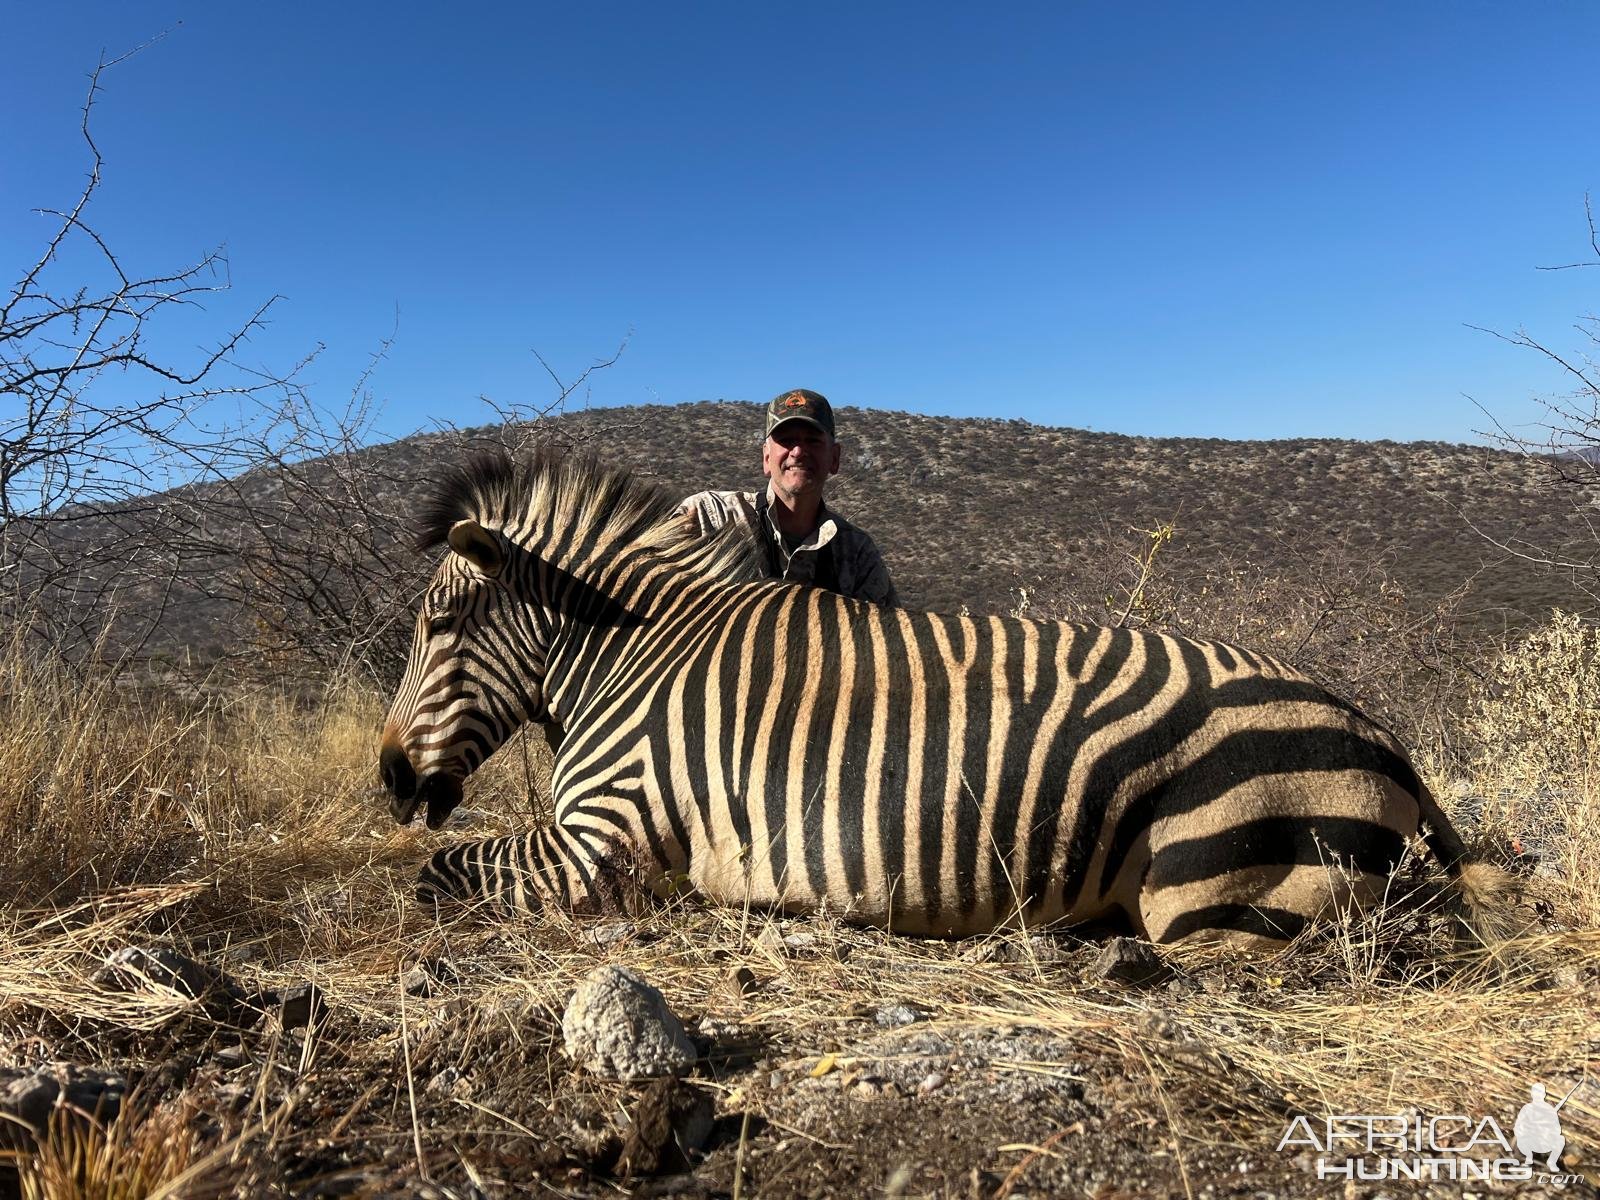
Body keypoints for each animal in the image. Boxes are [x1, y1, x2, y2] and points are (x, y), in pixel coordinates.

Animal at [377, 448, 1497, 947]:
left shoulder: (603, 843)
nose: (388, 778)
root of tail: (1380, 736)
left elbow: (433, 872)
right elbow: (434, 864)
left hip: (1210, 893)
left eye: (439, 626)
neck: (632, 656)